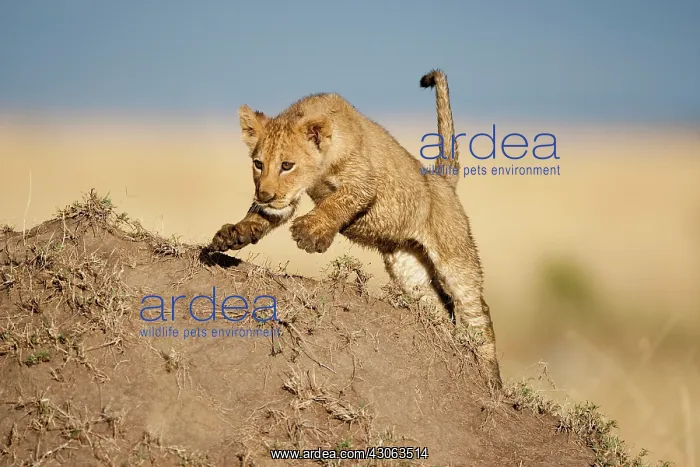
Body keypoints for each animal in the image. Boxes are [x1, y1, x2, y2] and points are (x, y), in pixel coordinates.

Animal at [208, 70, 502, 389]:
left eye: (287, 165)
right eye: (258, 164)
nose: (264, 194)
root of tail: (441, 180)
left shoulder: (364, 183)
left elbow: (337, 203)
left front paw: (311, 233)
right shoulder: (286, 198)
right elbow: (263, 216)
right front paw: (233, 233)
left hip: (454, 258)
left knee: (476, 310)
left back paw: (491, 379)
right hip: (408, 267)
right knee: (438, 307)